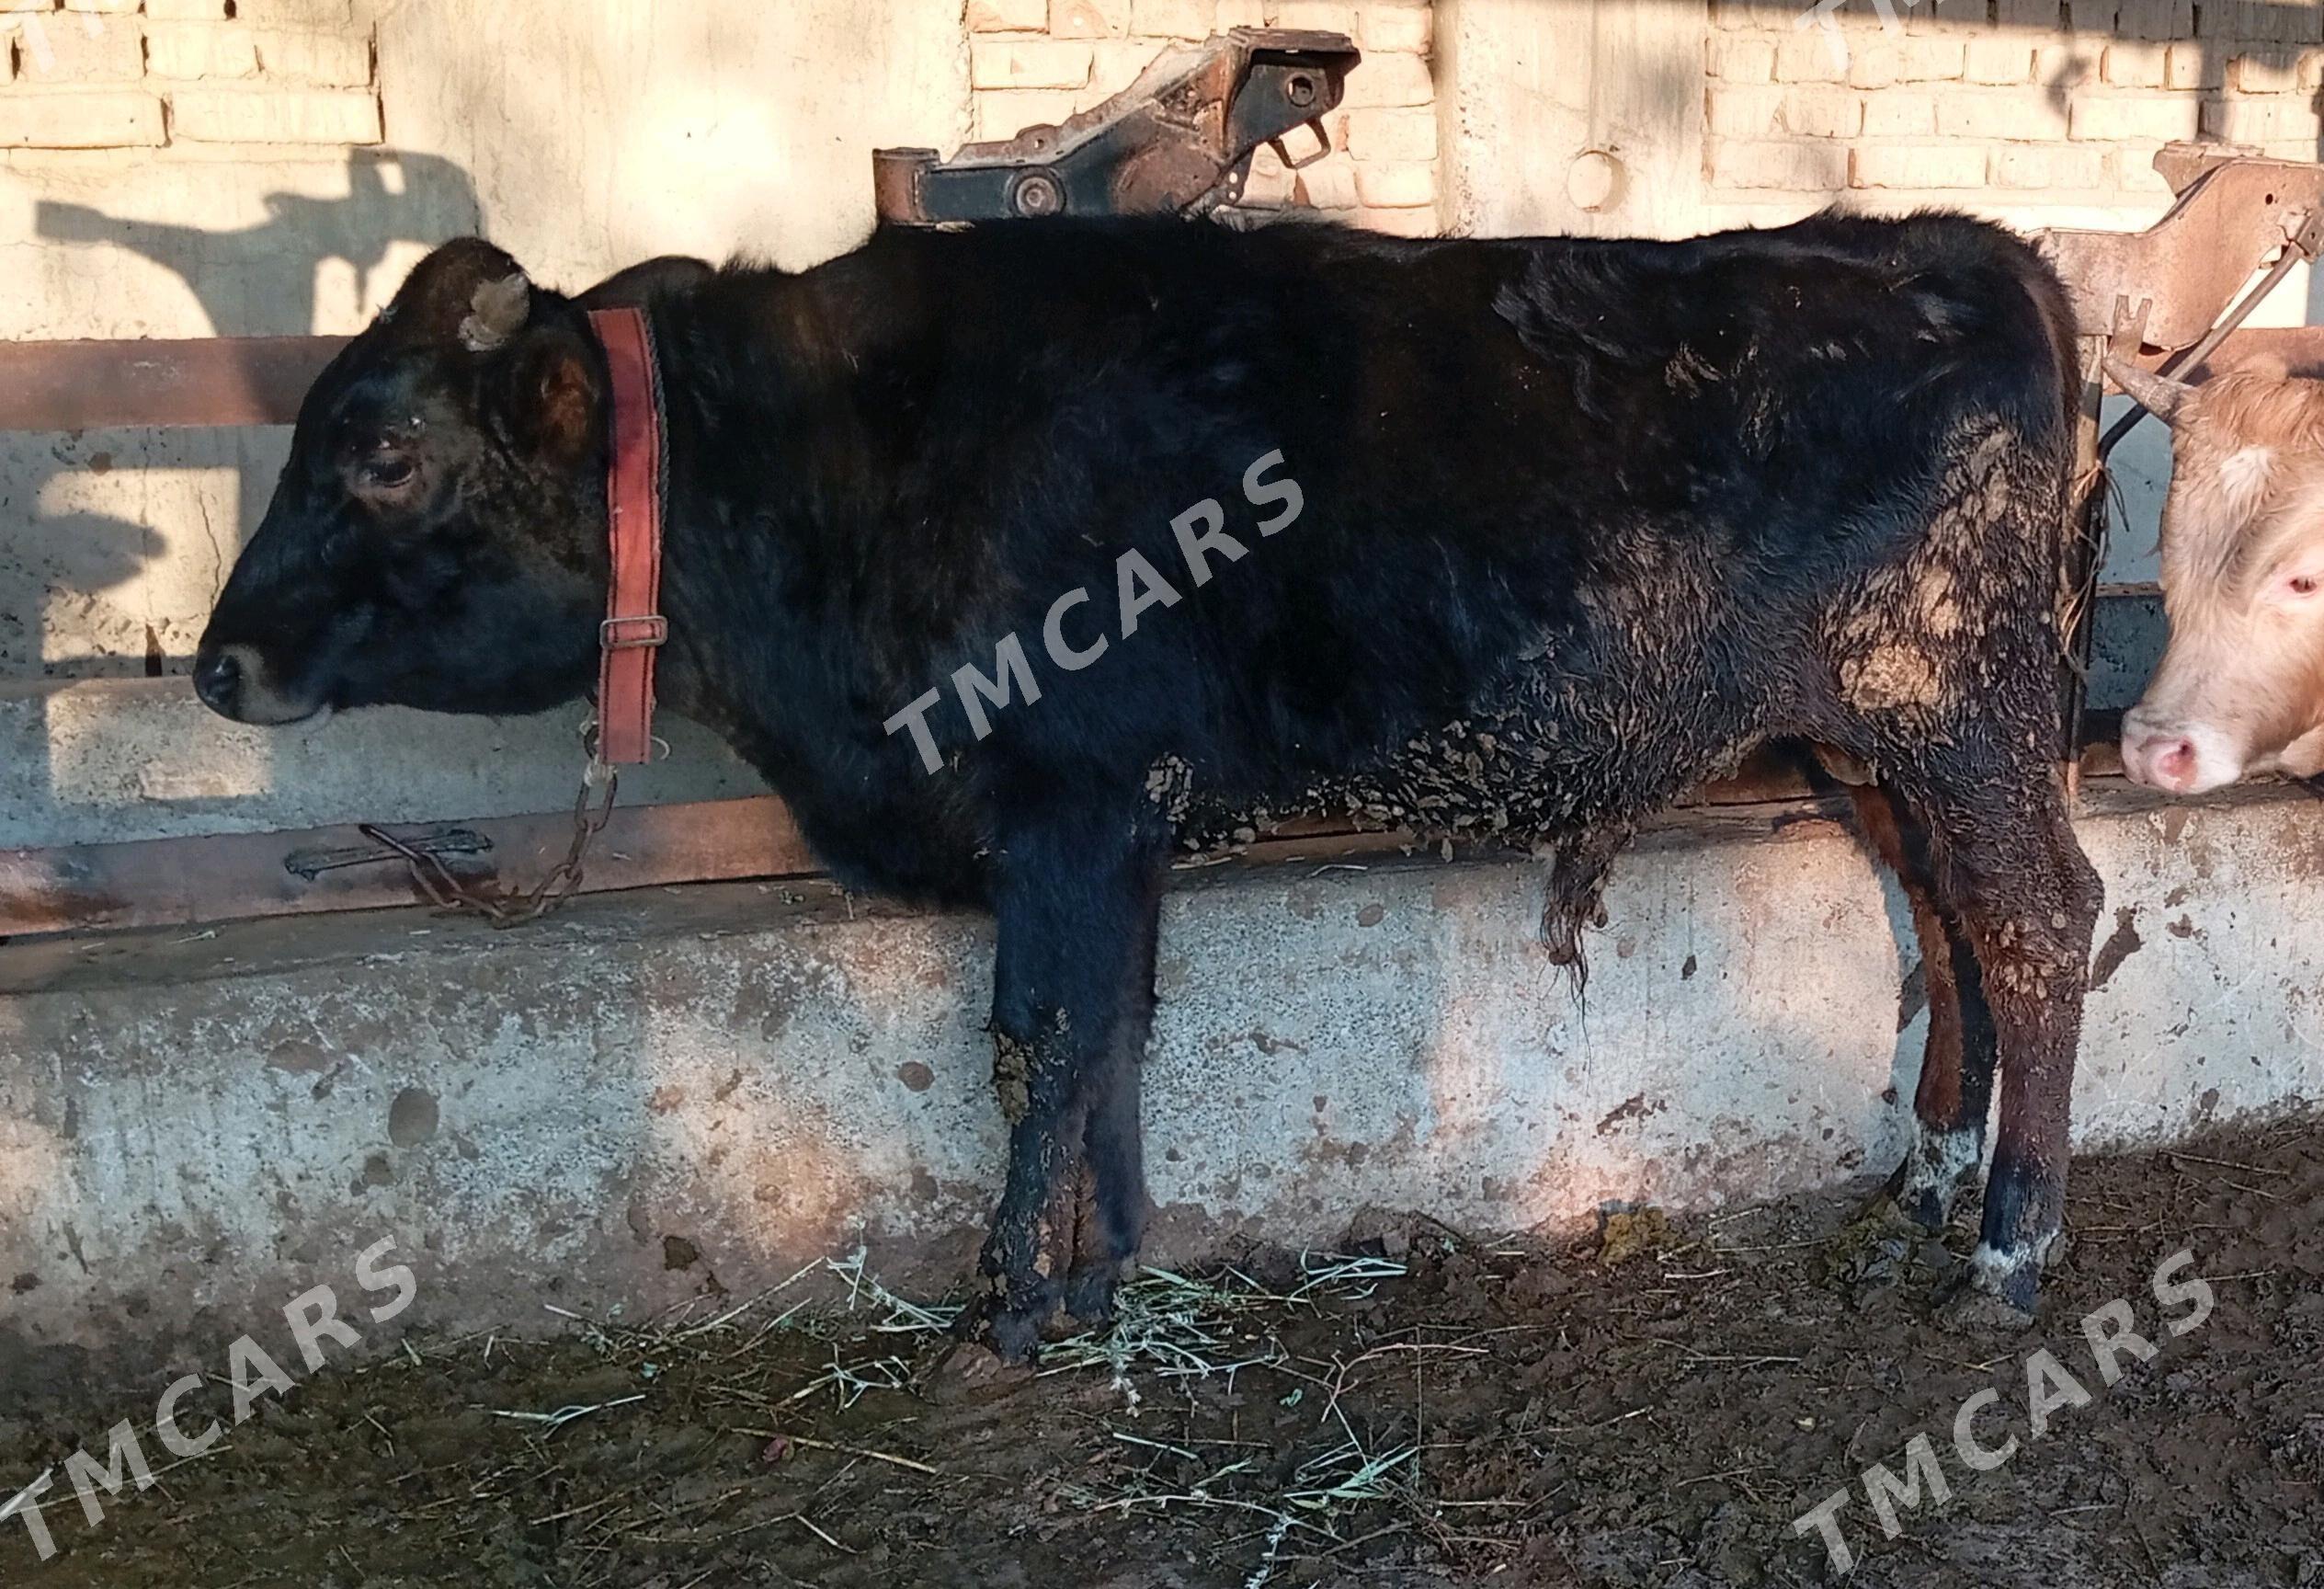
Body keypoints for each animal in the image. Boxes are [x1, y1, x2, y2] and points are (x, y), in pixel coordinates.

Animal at [190, 208, 2101, 1356]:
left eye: (380, 449)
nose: (215, 661)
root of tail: (1960, 245)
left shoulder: (1070, 797)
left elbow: (1037, 1034)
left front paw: (1009, 1304)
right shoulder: (1112, 828)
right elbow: (1108, 1027)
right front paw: (1105, 1266)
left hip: (1962, 712)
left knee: (2039, 924)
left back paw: (2008, 1243)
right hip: (1873, 748)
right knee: (1948, 927)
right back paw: (1926, 1182)